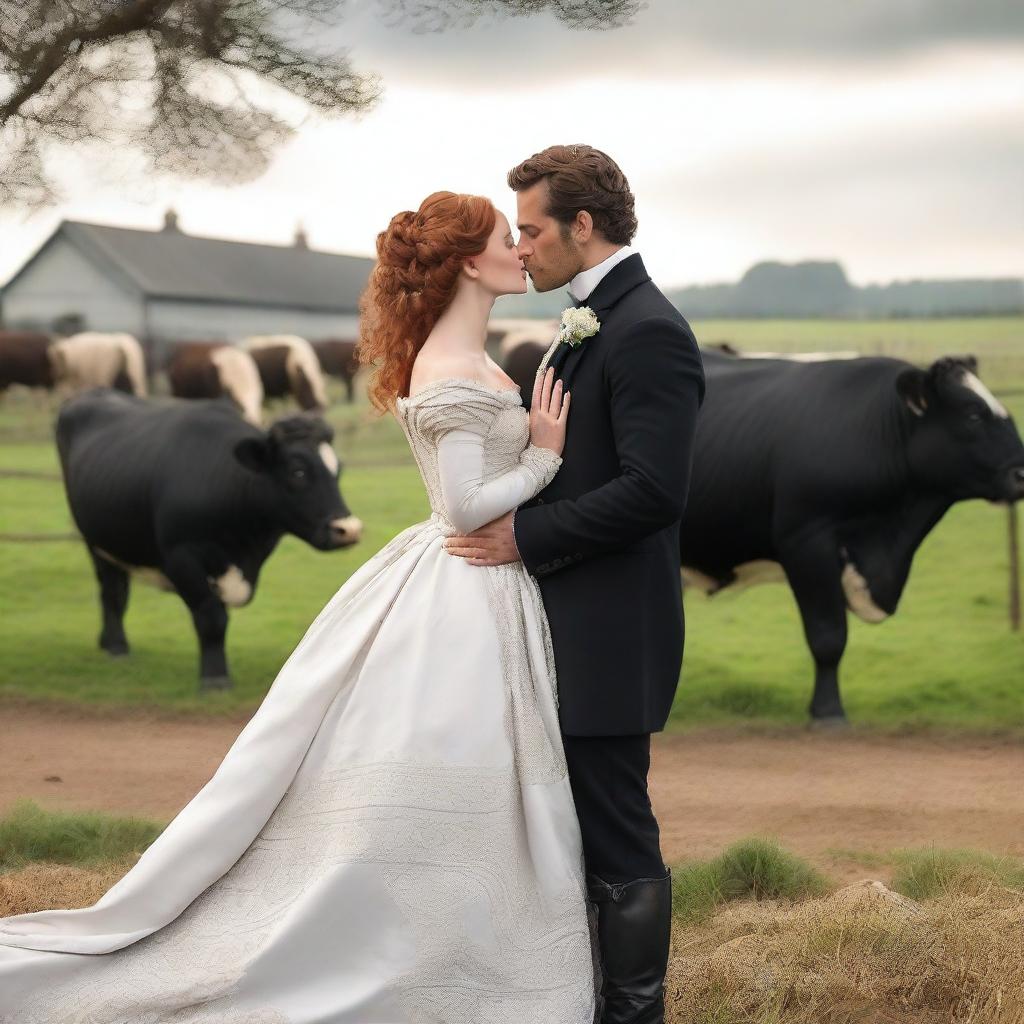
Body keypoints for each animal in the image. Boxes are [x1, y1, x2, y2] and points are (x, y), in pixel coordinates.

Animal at [57, 387, 364, 692]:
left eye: (338, 470)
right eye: (297, 472)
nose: (347, 529)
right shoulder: (182, 558)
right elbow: (212, 618)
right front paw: (215, 677)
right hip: (94, 540)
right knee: (113, 592)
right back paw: (117, 645)